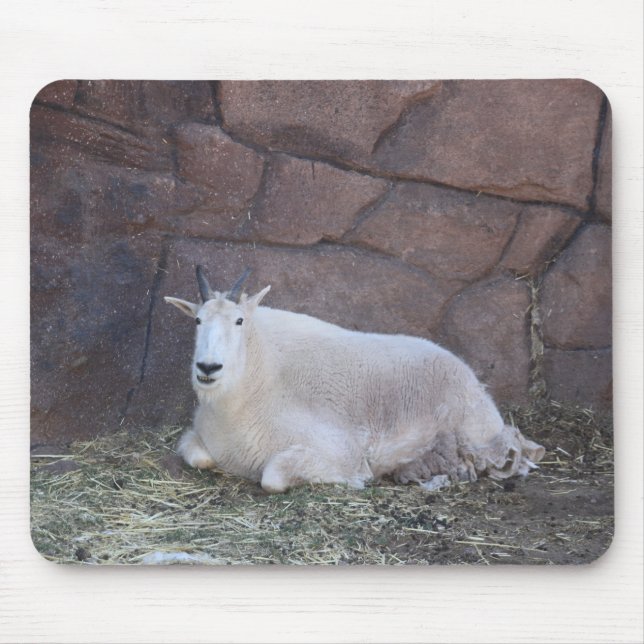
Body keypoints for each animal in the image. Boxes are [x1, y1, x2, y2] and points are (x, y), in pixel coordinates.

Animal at [164, 267, 545, 493]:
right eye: (197, 320)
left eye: (240, 321)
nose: (208, 367)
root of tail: (471, 378)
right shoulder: (199, 438)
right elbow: (199, 457)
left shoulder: (333, 449)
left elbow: (272, 476)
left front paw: (358, 479)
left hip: (477, 431)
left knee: (514, 454)